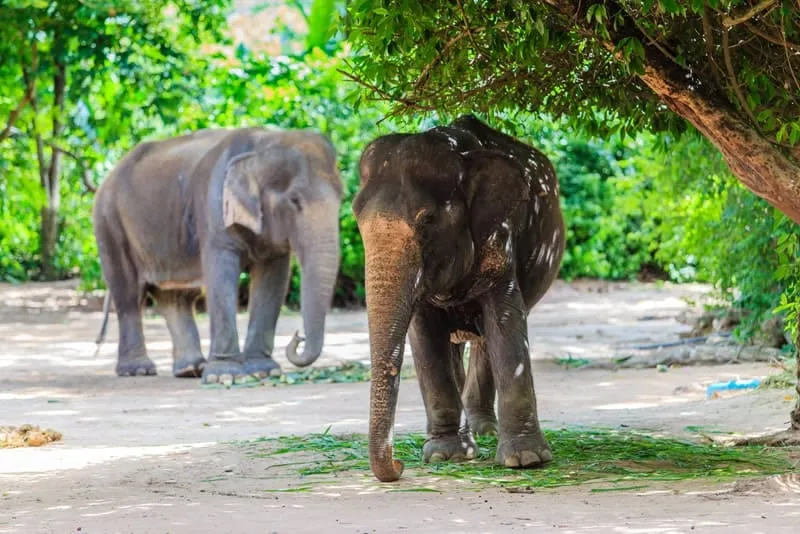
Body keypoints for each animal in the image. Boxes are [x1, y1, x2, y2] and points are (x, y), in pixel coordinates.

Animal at [92, 126, 342, 384]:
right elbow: (222, 273)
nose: (298, 337)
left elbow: (272, 278)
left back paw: (191, 369)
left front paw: (264, 371)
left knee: (175, 297)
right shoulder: (214, 207)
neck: (262, 144)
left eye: (342, 199)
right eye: (294, 201)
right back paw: (138, 370)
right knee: (129, 295)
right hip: (109, 223)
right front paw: (224, 376)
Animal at [352, 114, 565, 482]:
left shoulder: (499, 234)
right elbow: (426, 340)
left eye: (428, 220)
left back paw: (485, 432)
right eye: (355, 216)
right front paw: (445, 456)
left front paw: (527, 460)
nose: (399, 464)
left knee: (484, 341)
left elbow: (505, 321)